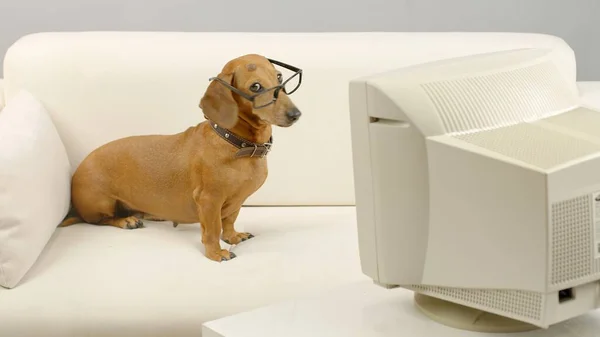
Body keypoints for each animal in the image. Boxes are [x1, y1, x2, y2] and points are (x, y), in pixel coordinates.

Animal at [59, 53, 302, 262]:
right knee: (100, 220)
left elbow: (229, 220)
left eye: (279, 77)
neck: (236, 143)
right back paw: (126, 220)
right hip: (101, 203)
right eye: (255, 86)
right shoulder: (209, 200)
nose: (296, 114)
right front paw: (216, 253)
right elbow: (213, 229)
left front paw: (233, 237)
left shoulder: (237, 201)